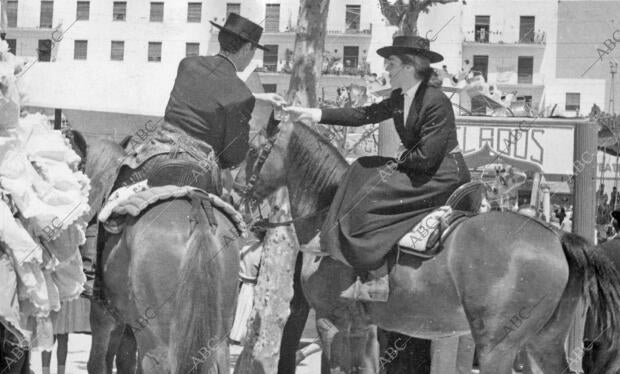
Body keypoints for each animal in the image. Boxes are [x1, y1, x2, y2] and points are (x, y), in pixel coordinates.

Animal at [85, 138, 242, 374]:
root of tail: (199, 217)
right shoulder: (129, 324)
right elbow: (124, 360)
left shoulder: (104, 315)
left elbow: (99, 361)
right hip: (218, 340)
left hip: (157, 343)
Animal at [237, 120, 620, 374]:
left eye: (255, 150)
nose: (239, 188)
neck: (330, 212)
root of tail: (555, 237)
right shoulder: (361, 328)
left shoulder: (331, 323)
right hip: (543, 341)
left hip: (498, 346)